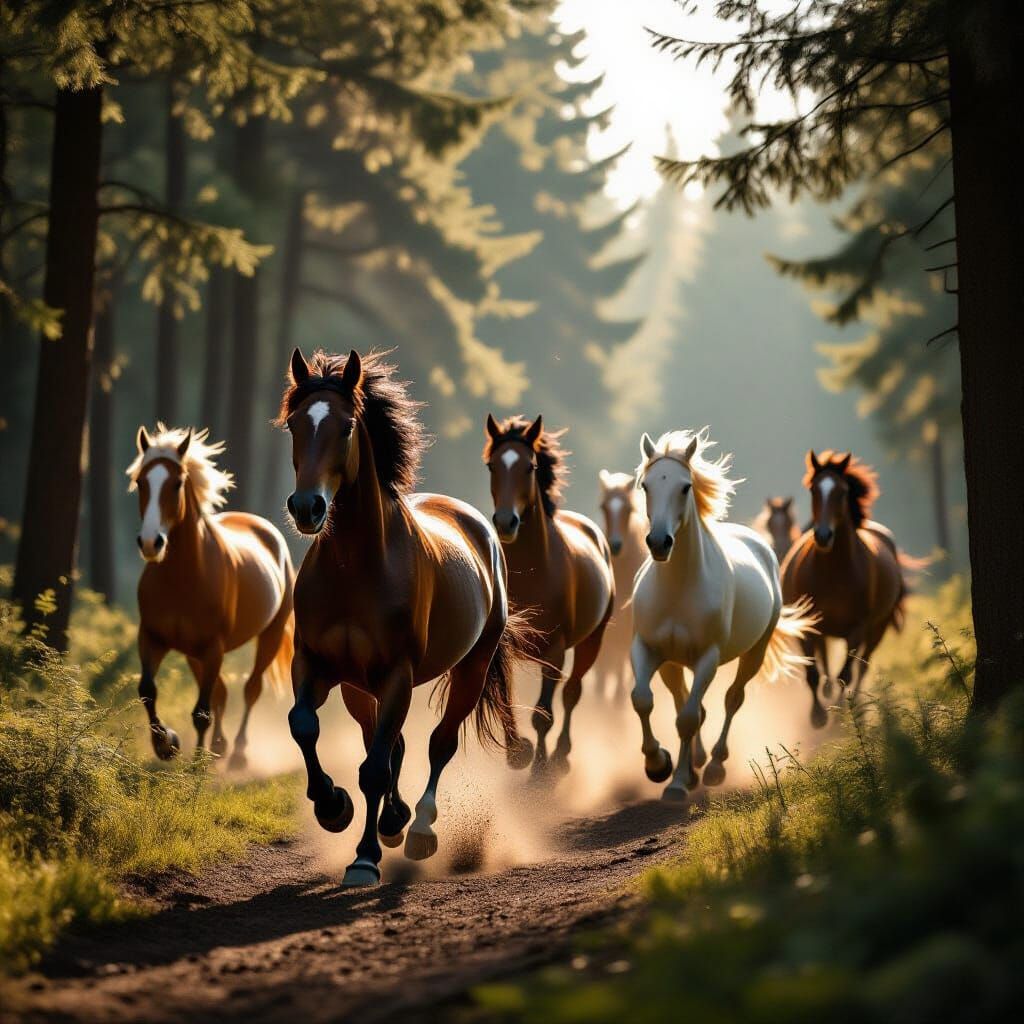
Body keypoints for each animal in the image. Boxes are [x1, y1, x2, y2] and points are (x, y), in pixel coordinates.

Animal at [127, 424, 294, 768]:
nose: (150, 542)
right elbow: (147, 690)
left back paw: (238, 754)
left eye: (177, 483)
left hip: (268, 637)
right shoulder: (152, 638)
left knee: (250, 689)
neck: (183, 578)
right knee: (222, 693)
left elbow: (202, 711)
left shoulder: (213, 647)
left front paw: (194, 764)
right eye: (140, 482)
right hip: (194, 654)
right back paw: (219, 746)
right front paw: (166, 745)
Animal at [280, 348, 534, 888]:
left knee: (438, 744)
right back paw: (393, 820)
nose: (307, 507)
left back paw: (418, 829)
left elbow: (376, 767)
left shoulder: (397, 673)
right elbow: (304, 726)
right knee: (386, 740)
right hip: (360, 688)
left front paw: (363, 858)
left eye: (347, 427)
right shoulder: (315, 665)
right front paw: (332, 806)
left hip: (470, 669)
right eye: (294, 424)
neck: (356, 568)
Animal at [483, 414, 614, 775]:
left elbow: (544, 715)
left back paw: (560, 757)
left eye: (529, 467)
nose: (505, 522)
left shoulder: (553, 652)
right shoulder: (502, 644)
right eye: (491, 465)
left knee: (572, 693)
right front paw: (518, 753)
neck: (532, 569)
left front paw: (539, 771)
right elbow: (504, 698)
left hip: (591, 642)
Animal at [630, 429, 818, 800]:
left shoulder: (708, 658)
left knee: (731, 699)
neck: (678, 588)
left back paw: (714, 766)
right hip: (674, 664)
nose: (659, 542)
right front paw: (658, 765)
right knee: (685, 701)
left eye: (685, 487)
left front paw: (676, 784)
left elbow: (688, 719)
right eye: (645, 485)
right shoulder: (648, 649)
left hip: (754, 653)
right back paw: (695, 766)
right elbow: (643, 700)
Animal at [781, 449, 917, 726]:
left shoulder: (857, 629)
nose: (823, 535)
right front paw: (818, 716)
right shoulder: (807, 626)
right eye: (813, 489)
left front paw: (841, 713)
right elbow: (812, 671)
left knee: (861, 667)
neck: (833, 572)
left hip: (877, 628)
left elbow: (846, 673)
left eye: (842, 492)